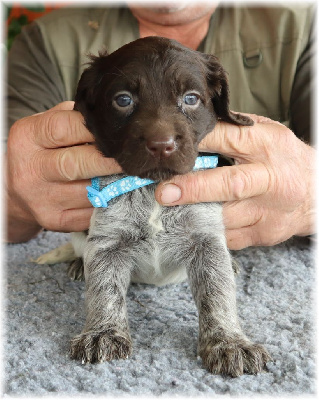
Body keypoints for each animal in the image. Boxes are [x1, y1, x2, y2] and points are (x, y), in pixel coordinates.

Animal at [65, 36, 272, 376]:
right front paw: (102, 333)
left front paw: (229, 342)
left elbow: (217, 292)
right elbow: (105, 289)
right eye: (123, 100)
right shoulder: (108, 242)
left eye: (191, 99)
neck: (153, 188)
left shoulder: (205, 238)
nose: (161, 145)